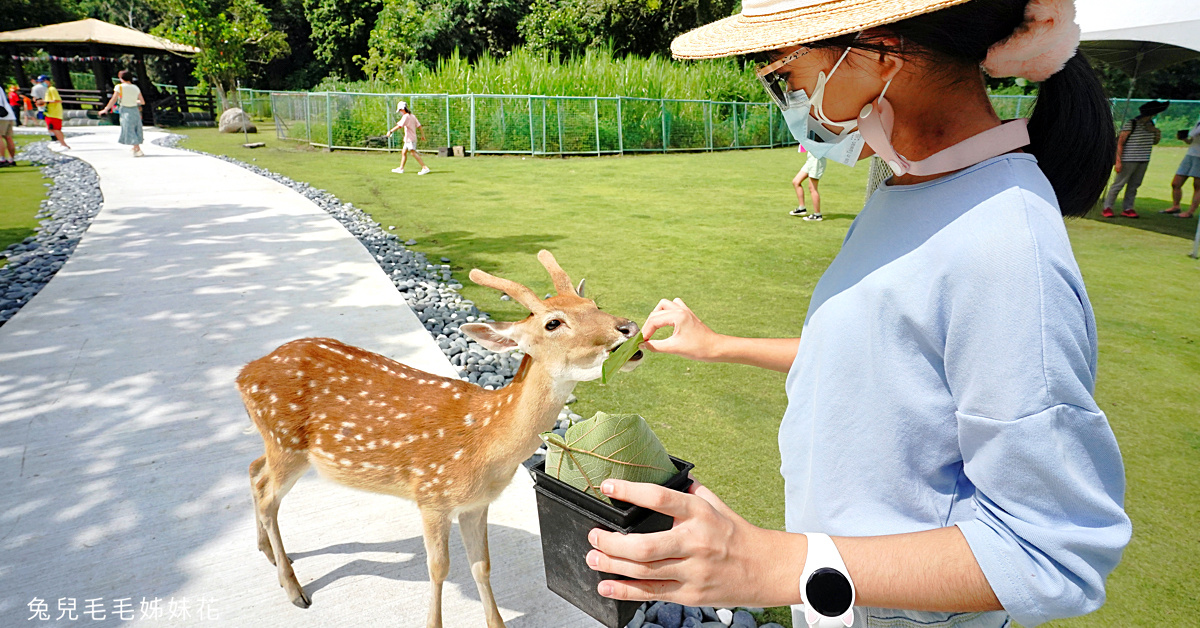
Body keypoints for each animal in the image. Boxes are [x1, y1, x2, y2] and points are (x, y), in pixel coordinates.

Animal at [237, 250, 643, 628]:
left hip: (275, 442)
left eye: (595, 304)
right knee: (269, 496)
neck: (486, 442)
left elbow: (482, 565)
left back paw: (266, 552)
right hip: (287, 442)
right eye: (553, 322)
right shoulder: (431, 495)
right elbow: (439, 569)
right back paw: (294, 589)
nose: (628, 328)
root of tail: (244, 374)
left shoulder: (476, 504)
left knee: (255, 471)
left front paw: (496, 623)